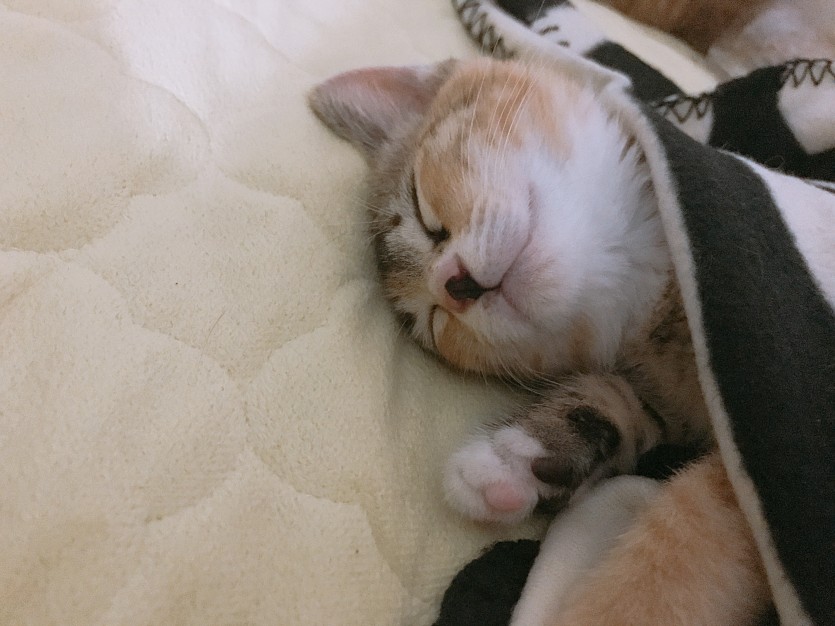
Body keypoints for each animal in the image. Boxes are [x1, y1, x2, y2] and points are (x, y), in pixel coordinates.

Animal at [309, 58, 771, 624]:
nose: (453, 285)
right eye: (431, 321)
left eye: (421, 210)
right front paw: (524, 455)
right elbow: (624, 408)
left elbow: (692, 528)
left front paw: (617, 605)